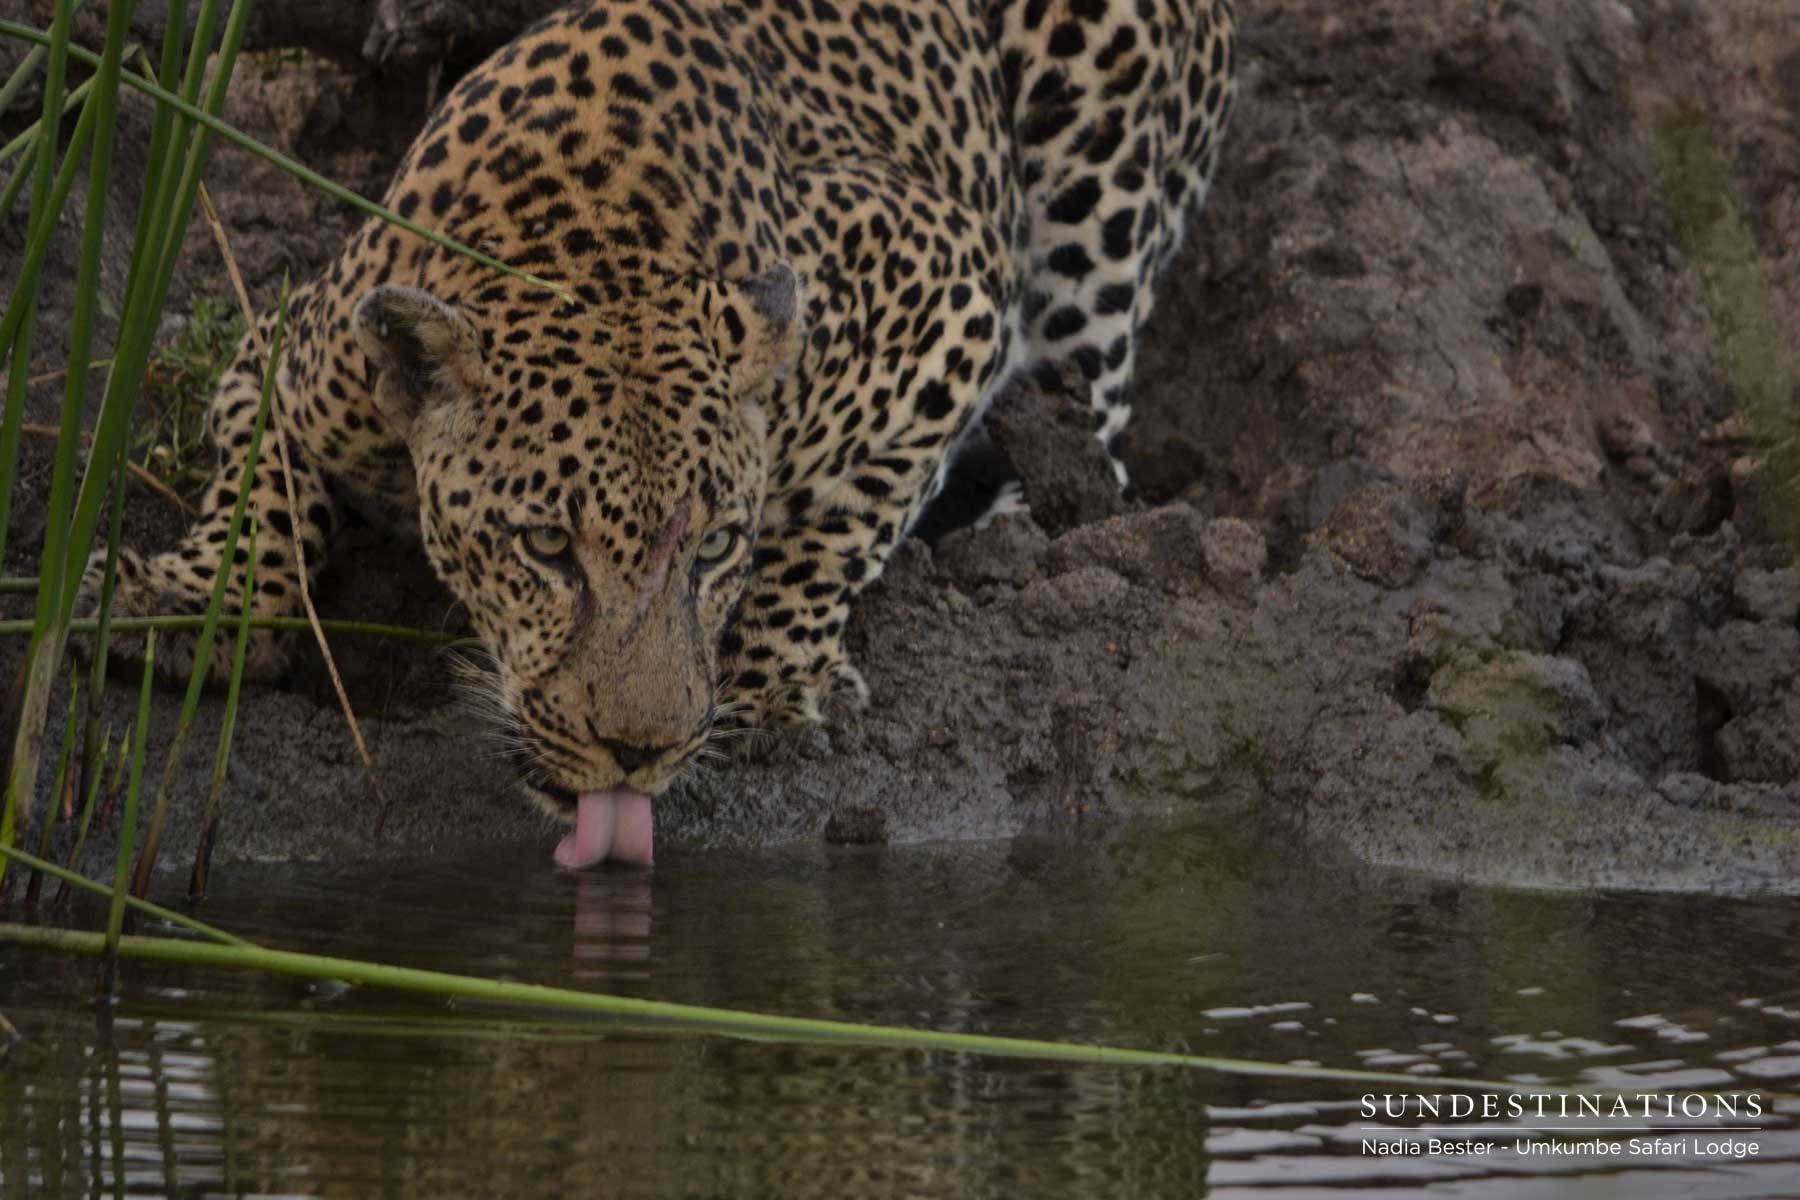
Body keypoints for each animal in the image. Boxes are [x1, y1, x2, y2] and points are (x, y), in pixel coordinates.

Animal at [87, 0, 1238, 852]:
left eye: (717, 545)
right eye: (547, 547)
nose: (640, 753)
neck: (592, 244)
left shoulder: (946, 273)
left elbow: (848, 510)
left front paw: (772, 678)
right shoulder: (287, 344)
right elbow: (262, 491)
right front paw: (182, 604)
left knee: (1094, 415)